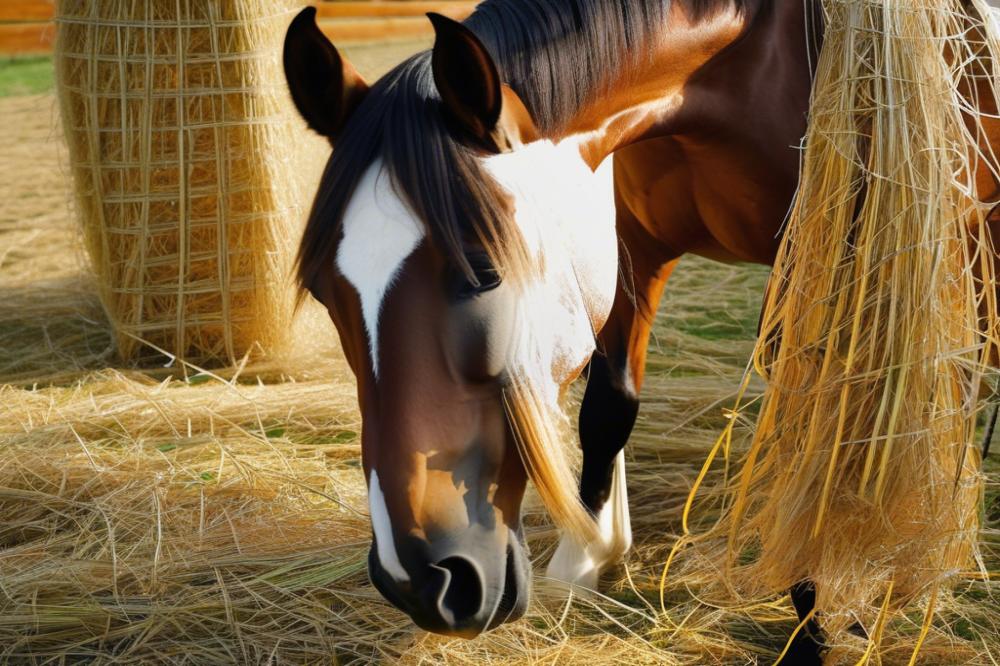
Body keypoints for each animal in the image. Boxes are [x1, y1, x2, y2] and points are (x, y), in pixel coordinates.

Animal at [282, 0, 1000, 644]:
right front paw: (590, 554)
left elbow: (828, 419)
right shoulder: (629, 248)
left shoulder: (832, 263)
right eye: (324, 292)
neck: (748, 65)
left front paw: (826, 607)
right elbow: (609, 406)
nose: (421, 581)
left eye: (484, 273)